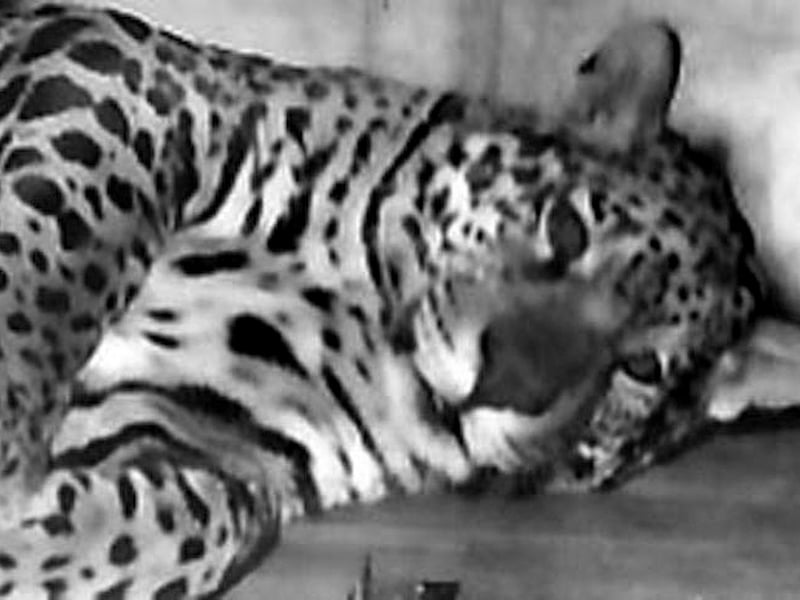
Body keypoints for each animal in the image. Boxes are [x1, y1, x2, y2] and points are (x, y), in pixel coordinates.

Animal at [0, 4, 760, 599]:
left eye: (642, 369)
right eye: (567, 229)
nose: (505, 383)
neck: (369, 313)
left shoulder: (200, 428)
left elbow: (209, 519)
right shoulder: (126, 68)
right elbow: (61, 243)